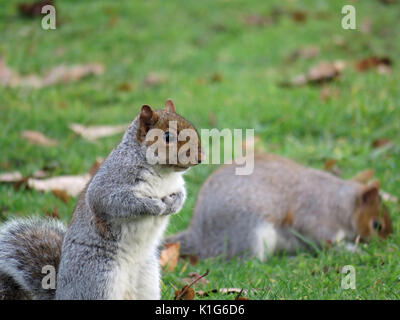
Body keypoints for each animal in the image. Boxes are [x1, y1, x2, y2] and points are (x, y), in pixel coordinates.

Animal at [0, 99, 200, 298]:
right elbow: (115, 201)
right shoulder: (109, 184)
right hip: (100, 279)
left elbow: (182, 193)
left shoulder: (177, 185)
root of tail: (61, 294)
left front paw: (174, 204)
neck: (164, 173)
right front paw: (154, 206)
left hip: (148, 280)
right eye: (167, 137)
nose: (199, 158)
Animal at [166, 152, 394, 260]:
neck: (340, 204)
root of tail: (200, 237)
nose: (387, 241)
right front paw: (354, 250)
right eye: (377, 225)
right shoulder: (317, 218)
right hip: (249, 231)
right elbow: (325, 241)